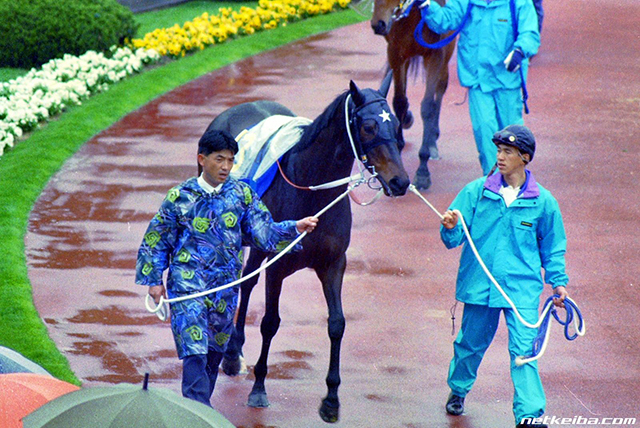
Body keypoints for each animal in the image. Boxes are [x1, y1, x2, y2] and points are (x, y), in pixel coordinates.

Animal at [205, 76, 410, 422]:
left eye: (396, 125)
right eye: (368, 126)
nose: (400, 181)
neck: (314, 189)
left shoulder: (334, 263)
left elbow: (337, 324)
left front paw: (331, 399)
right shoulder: (277, 266)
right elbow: (270, 322)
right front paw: (259, 388)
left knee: (247, 280)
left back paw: (234, 352)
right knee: (241, 283)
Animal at [370, 0, 456, 189]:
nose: (378, 24)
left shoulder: (435, 54)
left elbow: (428, 106)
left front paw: (423, 172)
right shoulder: (396, 52)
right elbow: (399, 102)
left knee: (440, 88)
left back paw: (432, 142)